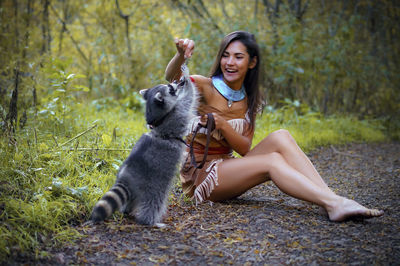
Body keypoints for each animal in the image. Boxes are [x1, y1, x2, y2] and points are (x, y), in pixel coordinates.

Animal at [90, 67, 197, 225]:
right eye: (171, 89)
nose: (177, 82)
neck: (157, 118)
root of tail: (126, 177)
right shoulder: (176, 115)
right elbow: (189, 99)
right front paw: (188, 79)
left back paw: (127, 211)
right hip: (153, 184)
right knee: (154, 201)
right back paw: (150, 221)